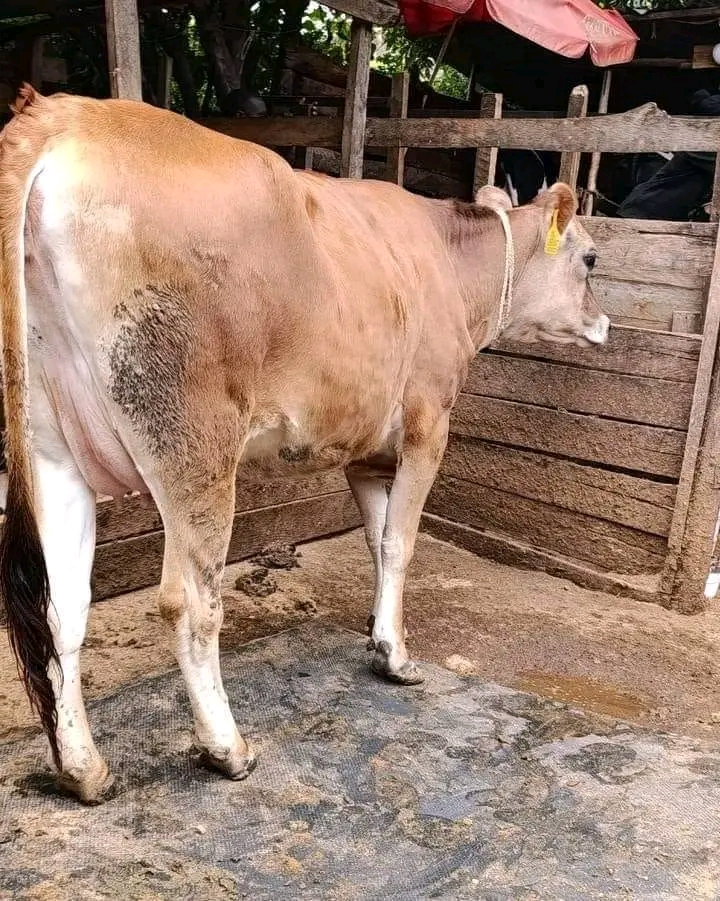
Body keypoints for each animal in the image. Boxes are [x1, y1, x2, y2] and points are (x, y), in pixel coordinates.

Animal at [0, 85, 609, 804]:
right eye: (591, 258)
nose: (605, 323)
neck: (451, 263)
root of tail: (68, 116)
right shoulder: (429, 420)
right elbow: (401, 543)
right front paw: (398, 656)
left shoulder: (367, 449)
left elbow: (376, 539)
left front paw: (379, 637)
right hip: (193, 441)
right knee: (189, 601)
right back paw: (227, 747)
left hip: (50, 443)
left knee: (62, 607)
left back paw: (85, 769)